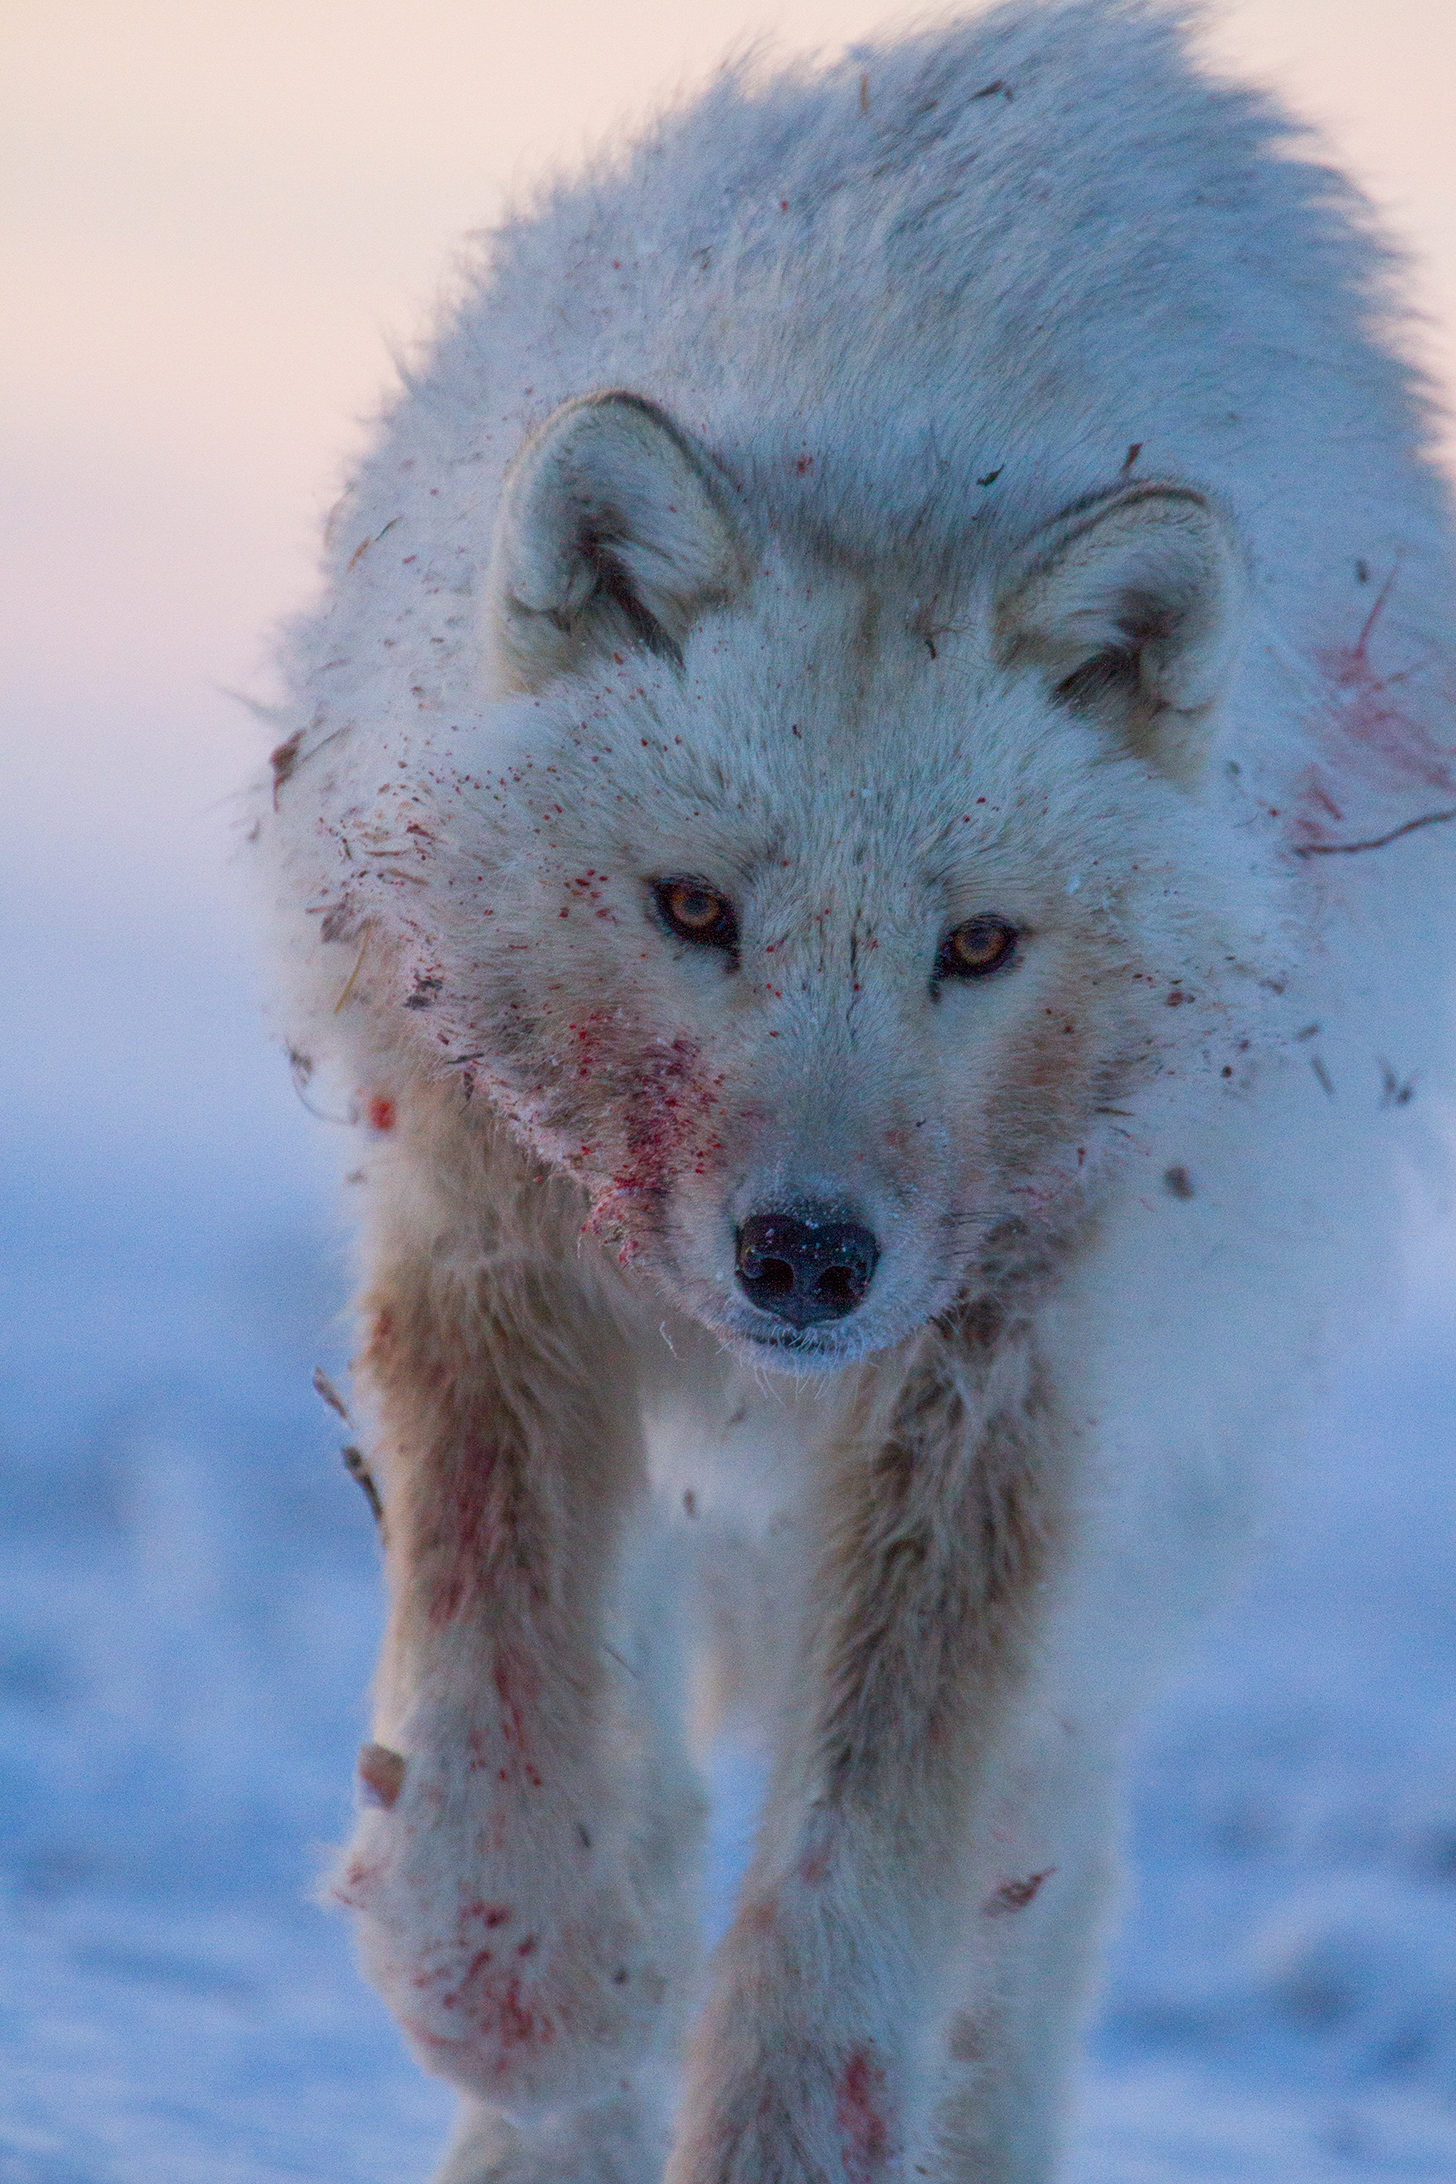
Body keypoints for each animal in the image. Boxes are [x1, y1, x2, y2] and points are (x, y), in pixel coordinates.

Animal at [256, 4, 1456, 2184]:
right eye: (690, 909)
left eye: (974, 946)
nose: (807, 1257)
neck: (900, 428)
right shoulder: (486, 1244)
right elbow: (496, 1700)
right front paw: (523, 1983)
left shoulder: (995, 1393)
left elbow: (855, 1889)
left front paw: (781, 2128)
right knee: (647, 1736)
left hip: (1136, 1535)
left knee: (1037, 1884)